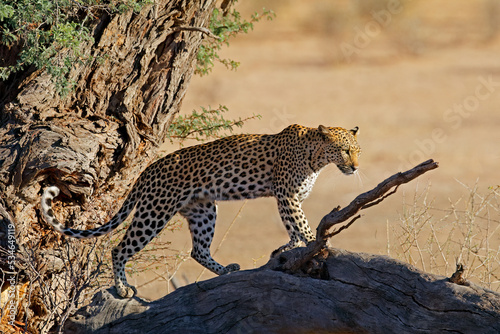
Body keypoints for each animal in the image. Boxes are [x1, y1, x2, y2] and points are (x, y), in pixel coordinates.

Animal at [39, 123, 360, 298]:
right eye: (345, 150)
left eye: (358, 150)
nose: (356, 167)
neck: (316, 158)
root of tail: (147, 170)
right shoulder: (287, 195)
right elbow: (302, 225)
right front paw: (317, 245)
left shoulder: (288, 198)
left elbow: (293, 228)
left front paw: (291, 247)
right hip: (154, 212)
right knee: (120, 249)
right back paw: (122, 288)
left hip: (203, 210)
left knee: (198, 250)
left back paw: (225, 271)